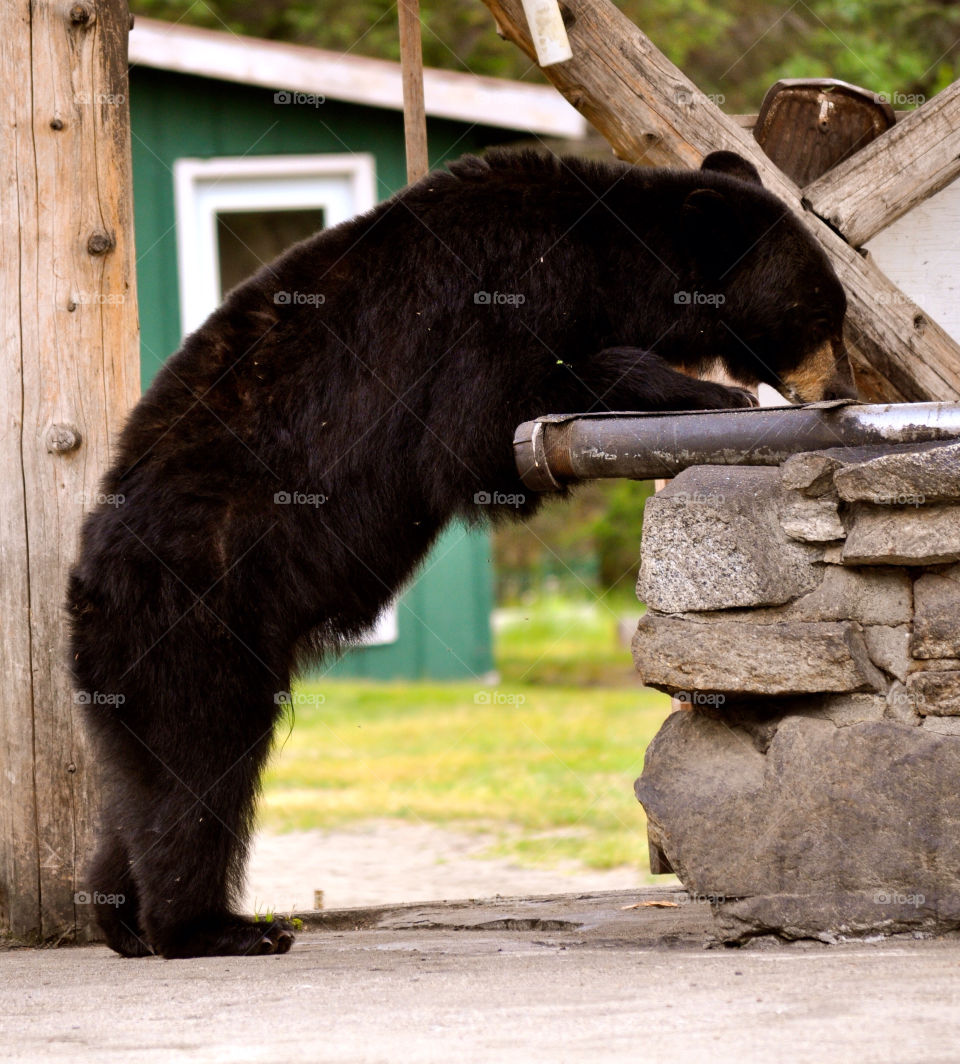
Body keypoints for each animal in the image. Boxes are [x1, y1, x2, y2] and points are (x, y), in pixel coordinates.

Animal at [69, 147, 855, 957]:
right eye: (820, 313)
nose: (843, 385)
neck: (600, 259)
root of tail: (88, 574)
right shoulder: (487, 310)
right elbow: (489, 422)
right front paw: (698, 394)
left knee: (148, 775)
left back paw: (122, 917)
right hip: (201, 606)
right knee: (202, 755)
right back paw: (216, 928)